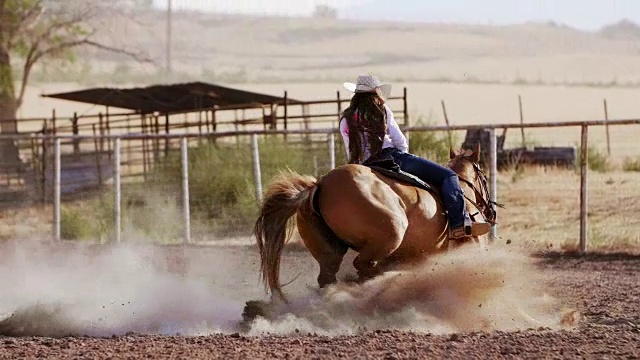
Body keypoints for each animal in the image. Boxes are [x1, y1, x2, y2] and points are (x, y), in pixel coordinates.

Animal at [252, 145, 498, 300]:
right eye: (484, 176)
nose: (491, 212)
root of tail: (319, 184)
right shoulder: (475, 248)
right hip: (391, 233)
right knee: (363, 266)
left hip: (329, 253)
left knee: (330, 278)